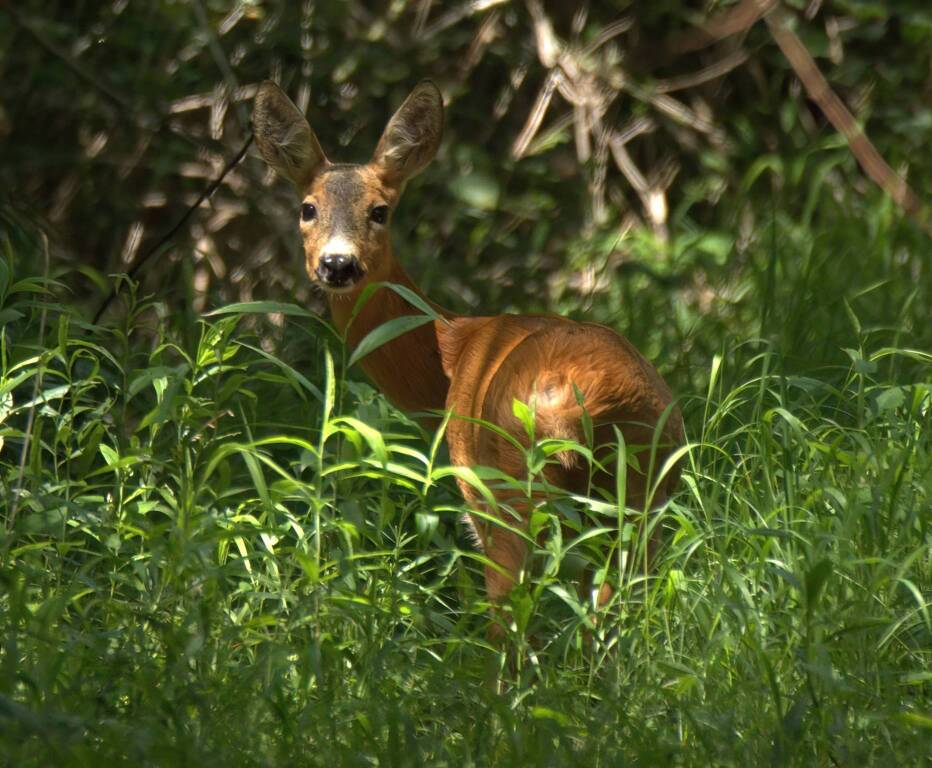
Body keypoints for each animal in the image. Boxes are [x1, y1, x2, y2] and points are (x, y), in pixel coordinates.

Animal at [251, 81, 680, 640]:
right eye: (307, 208)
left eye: (380, 210)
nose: (338, 263)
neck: (451, 353)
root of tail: (576, 405)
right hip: (647, 485)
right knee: (616, 604)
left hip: (507, 485)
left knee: (513, 613)